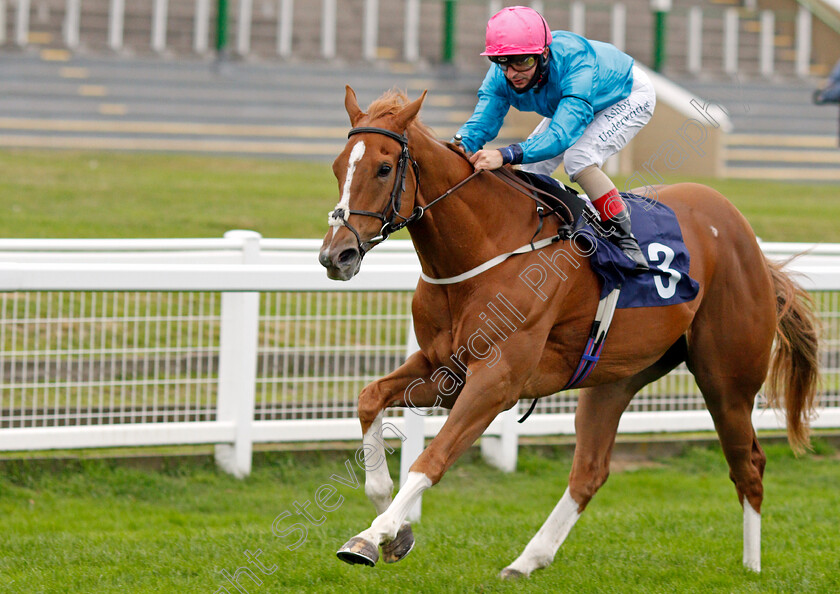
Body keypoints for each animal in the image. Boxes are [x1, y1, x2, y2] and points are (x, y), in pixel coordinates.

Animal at [318, 85, 816, 576]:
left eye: (384, 168)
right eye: (338, 166)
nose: (335, 256)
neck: (487, 248)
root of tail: (747, 240)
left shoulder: (497, 381)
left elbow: (431, 459)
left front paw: (371, 536)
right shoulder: (445, 369)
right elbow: (369, 399)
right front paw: (395, 529)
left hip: (726, 380)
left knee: (748, 464)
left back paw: (751, 569)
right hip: (614, 378)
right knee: (590, 471)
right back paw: (527, 560)